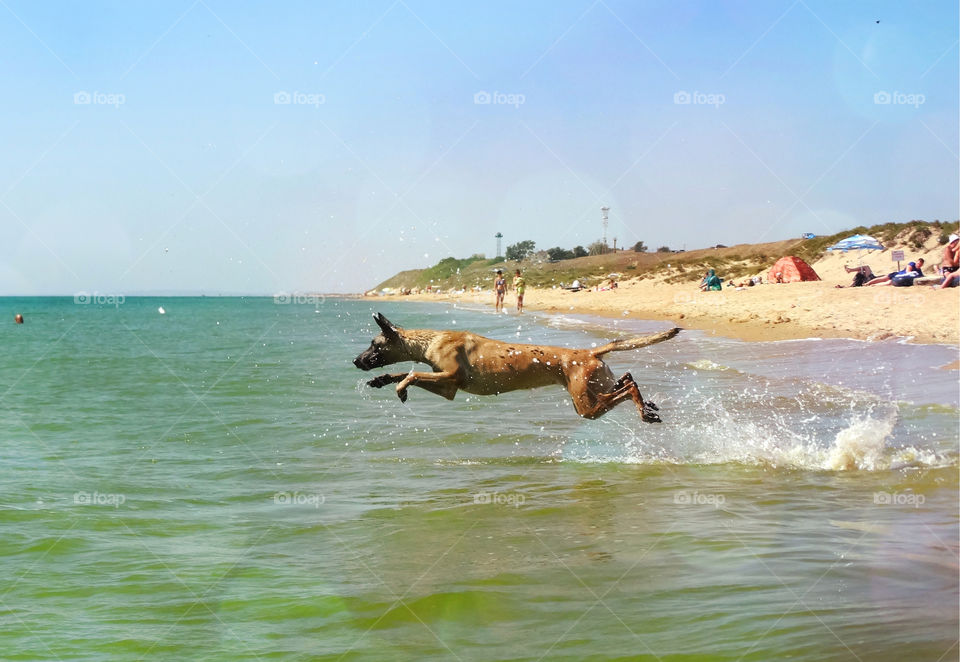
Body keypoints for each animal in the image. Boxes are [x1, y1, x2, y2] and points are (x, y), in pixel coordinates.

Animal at [354, 314, 684, 422]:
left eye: (374, 344)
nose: (356, 361)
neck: (430, 340)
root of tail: (589, 351)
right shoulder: (448, 387)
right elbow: (404, 372)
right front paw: (382, 379)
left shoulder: (449, 377)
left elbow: (411, 374)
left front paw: (400, 387)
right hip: (595, 388)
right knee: (627, 379)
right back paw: (648, 405)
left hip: (586, 405)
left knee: (627, 389)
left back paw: (645, 410)